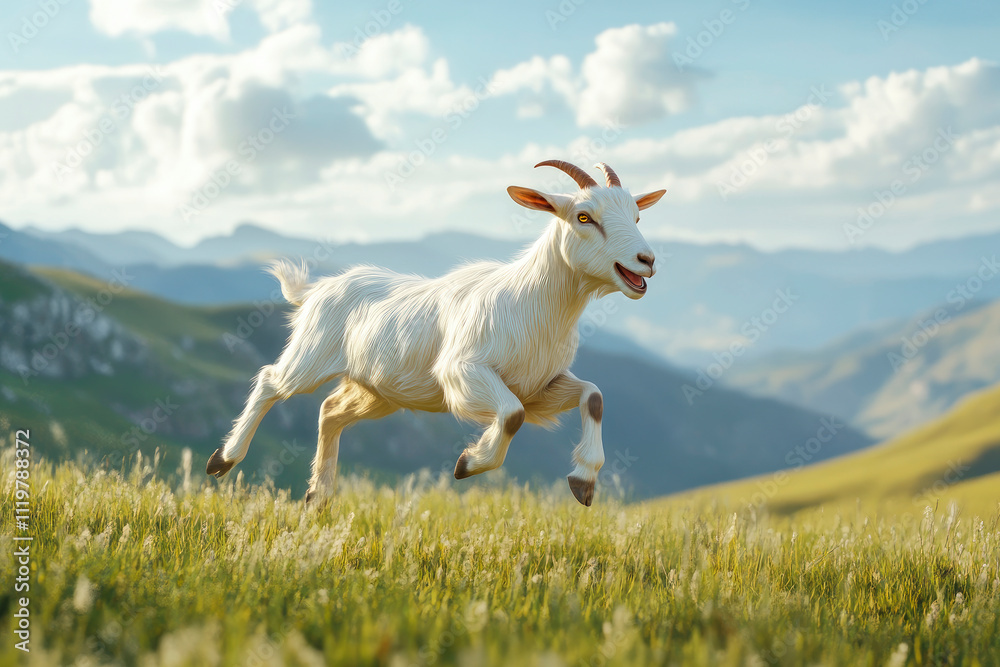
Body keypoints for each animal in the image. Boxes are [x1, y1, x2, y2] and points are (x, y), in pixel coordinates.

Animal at [206, 160, 666, 506]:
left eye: (638, 215)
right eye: (584, 216)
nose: (646, 260)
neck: (531, 302)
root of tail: (317, 289)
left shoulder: (542, 384)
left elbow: (593, 397)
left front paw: (583, 481)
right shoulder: (462, 371)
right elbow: (512, 415)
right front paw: (469, 463)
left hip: (379, 390)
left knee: (331, 411)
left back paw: (318, 497)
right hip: (310, 355)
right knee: (271, 381)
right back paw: (223, 460)